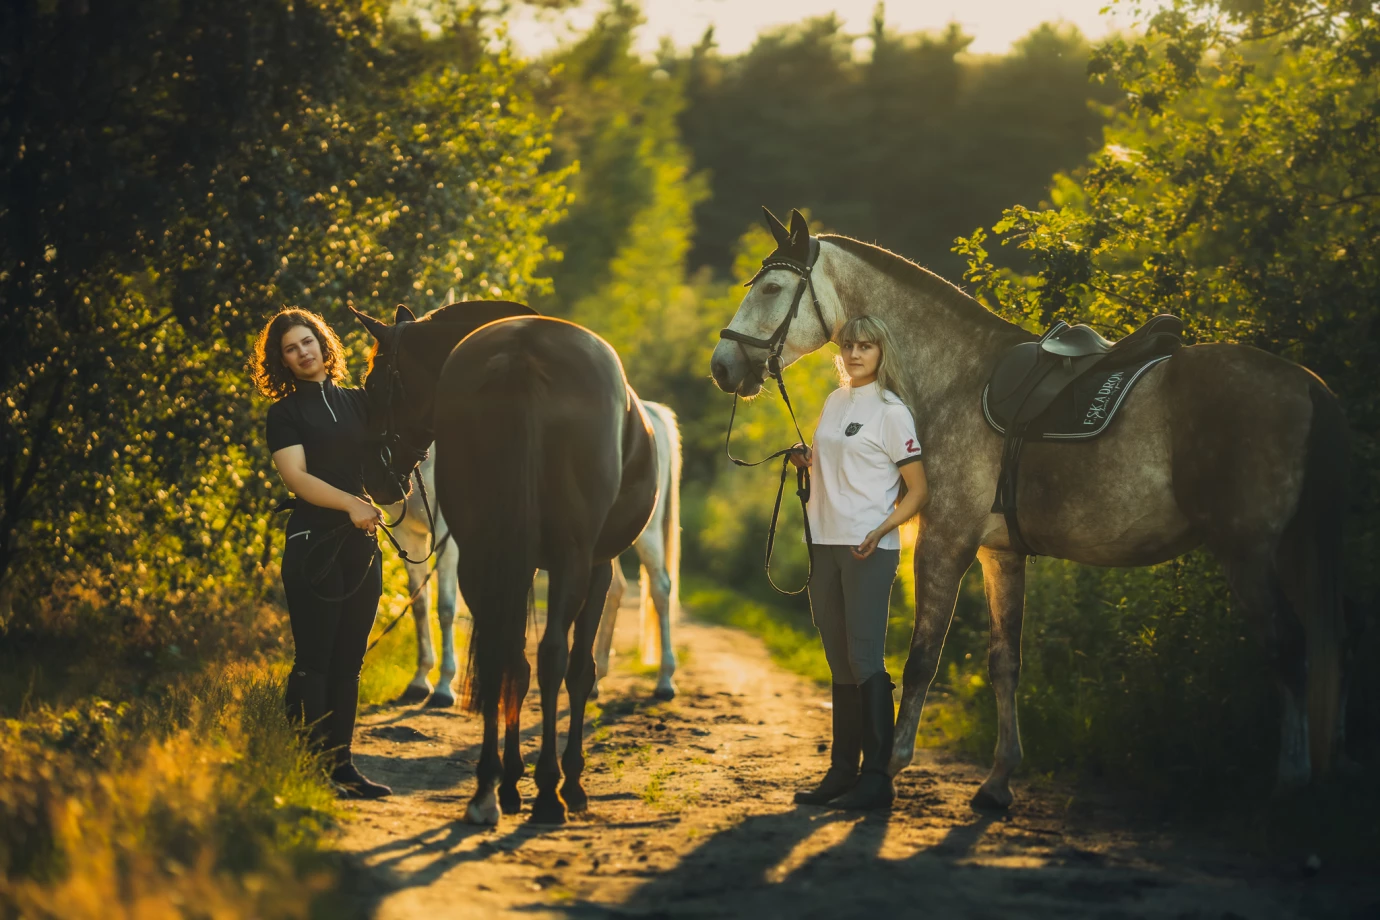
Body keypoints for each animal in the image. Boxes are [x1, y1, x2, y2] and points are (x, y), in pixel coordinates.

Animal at [356, 303, 656, 827]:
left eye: (375, 383)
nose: (376, 479)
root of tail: (523, 355)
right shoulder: (592, 566)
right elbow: (576, 669)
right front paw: (568, 782)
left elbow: (513, 660)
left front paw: (511, 781)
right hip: (569, 560)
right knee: (551, 656)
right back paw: (548, 792)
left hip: (483, 553)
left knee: (505, 656)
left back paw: (488, 790)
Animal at [590, 400, 681, 700]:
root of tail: (650, 410)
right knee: (614, 587)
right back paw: (595, 679)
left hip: (647, 531)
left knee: (660, 587)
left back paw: (665, 680)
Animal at [712, 208, 1346, 805]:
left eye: (771, 289)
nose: (722, 366)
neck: (955, 380)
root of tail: (1307, 385)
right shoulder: (1001, 555)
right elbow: (1005, 662)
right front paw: (998, 781)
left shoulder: (946, 542)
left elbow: (922, 658)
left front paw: (889, 768)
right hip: (1288, 550)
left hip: (1247, 553)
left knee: (1289, 648)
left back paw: (1291, 784)